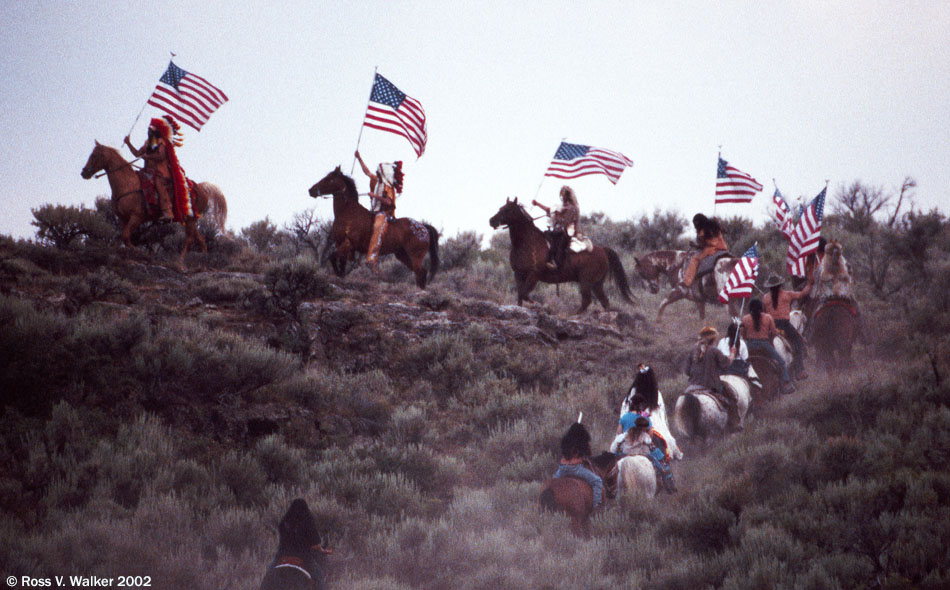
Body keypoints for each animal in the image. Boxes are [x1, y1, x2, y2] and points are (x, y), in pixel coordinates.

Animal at [80, 143, 229, 270]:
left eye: (94, 155)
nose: (84, 172)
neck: (128, 184)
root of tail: (201, 188)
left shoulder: (137, 217)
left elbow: (126, 236)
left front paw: (142, 254)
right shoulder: (122, 219)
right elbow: (124, 237)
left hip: (191, 220)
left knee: (190, 239)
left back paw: (179, 262)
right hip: (189, 220)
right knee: (201, 239)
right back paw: (204, 261)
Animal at [308, 166, 442, 290]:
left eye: (329, 179)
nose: (311, 190)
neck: (348, 213)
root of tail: (423, 228)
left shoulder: (348, 244)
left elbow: (332, 256)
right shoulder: (340, 243)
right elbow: (340, 262)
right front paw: (340, 276)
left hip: (415, 256)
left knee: (421, 272)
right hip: (402, 255)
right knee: (420, 273)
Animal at [488, 199, 636, 314]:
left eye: (507, 209)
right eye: (501, 208)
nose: (492, 220)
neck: (527, 242)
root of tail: (603, 250)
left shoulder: (534, 274)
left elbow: (524, 294)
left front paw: (539, 305)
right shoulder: (518, 274)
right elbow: (520, 296)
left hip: (586, 281)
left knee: (587, 301)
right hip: (596, 284)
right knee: (604, 301)